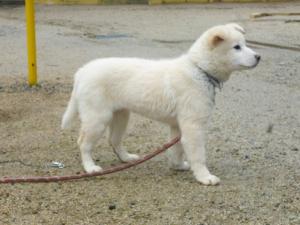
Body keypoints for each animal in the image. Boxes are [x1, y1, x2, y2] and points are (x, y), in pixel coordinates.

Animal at [61, 23, 260, 185]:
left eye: (244, 44)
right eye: (237, 47)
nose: (259, 57)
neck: (199, 69)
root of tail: (83, 71)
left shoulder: (179, 125)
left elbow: (177, 149)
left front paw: (178, 166)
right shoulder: (193, 126)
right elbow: (198, 155)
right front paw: (205, 177)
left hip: (121, 115)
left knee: (114, 140)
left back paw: (127, 158)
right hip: (97, 118)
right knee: (83, 143)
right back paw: (90, 167)